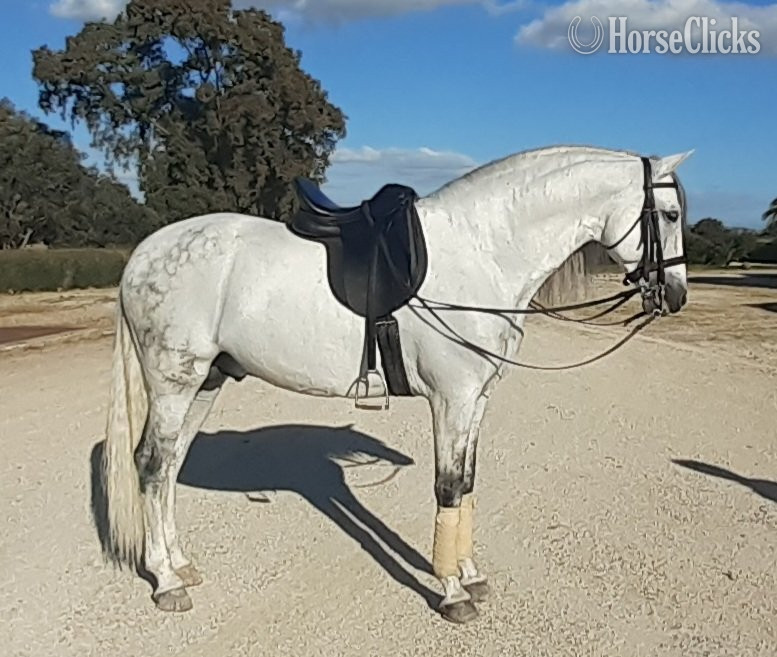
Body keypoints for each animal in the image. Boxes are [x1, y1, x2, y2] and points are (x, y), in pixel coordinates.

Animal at [102, 144, 692, 624]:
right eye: (669, 213)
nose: (677, 294)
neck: (481, 252)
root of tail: (145, 254)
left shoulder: (476, 401)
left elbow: (468, 483)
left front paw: (471, 574)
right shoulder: (452, 400)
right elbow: (448, 487)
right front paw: (453, 593)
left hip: (207, 381)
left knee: (170, 466)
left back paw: (181, 564)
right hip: (174, 381)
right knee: (151, 464)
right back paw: (166, 582)